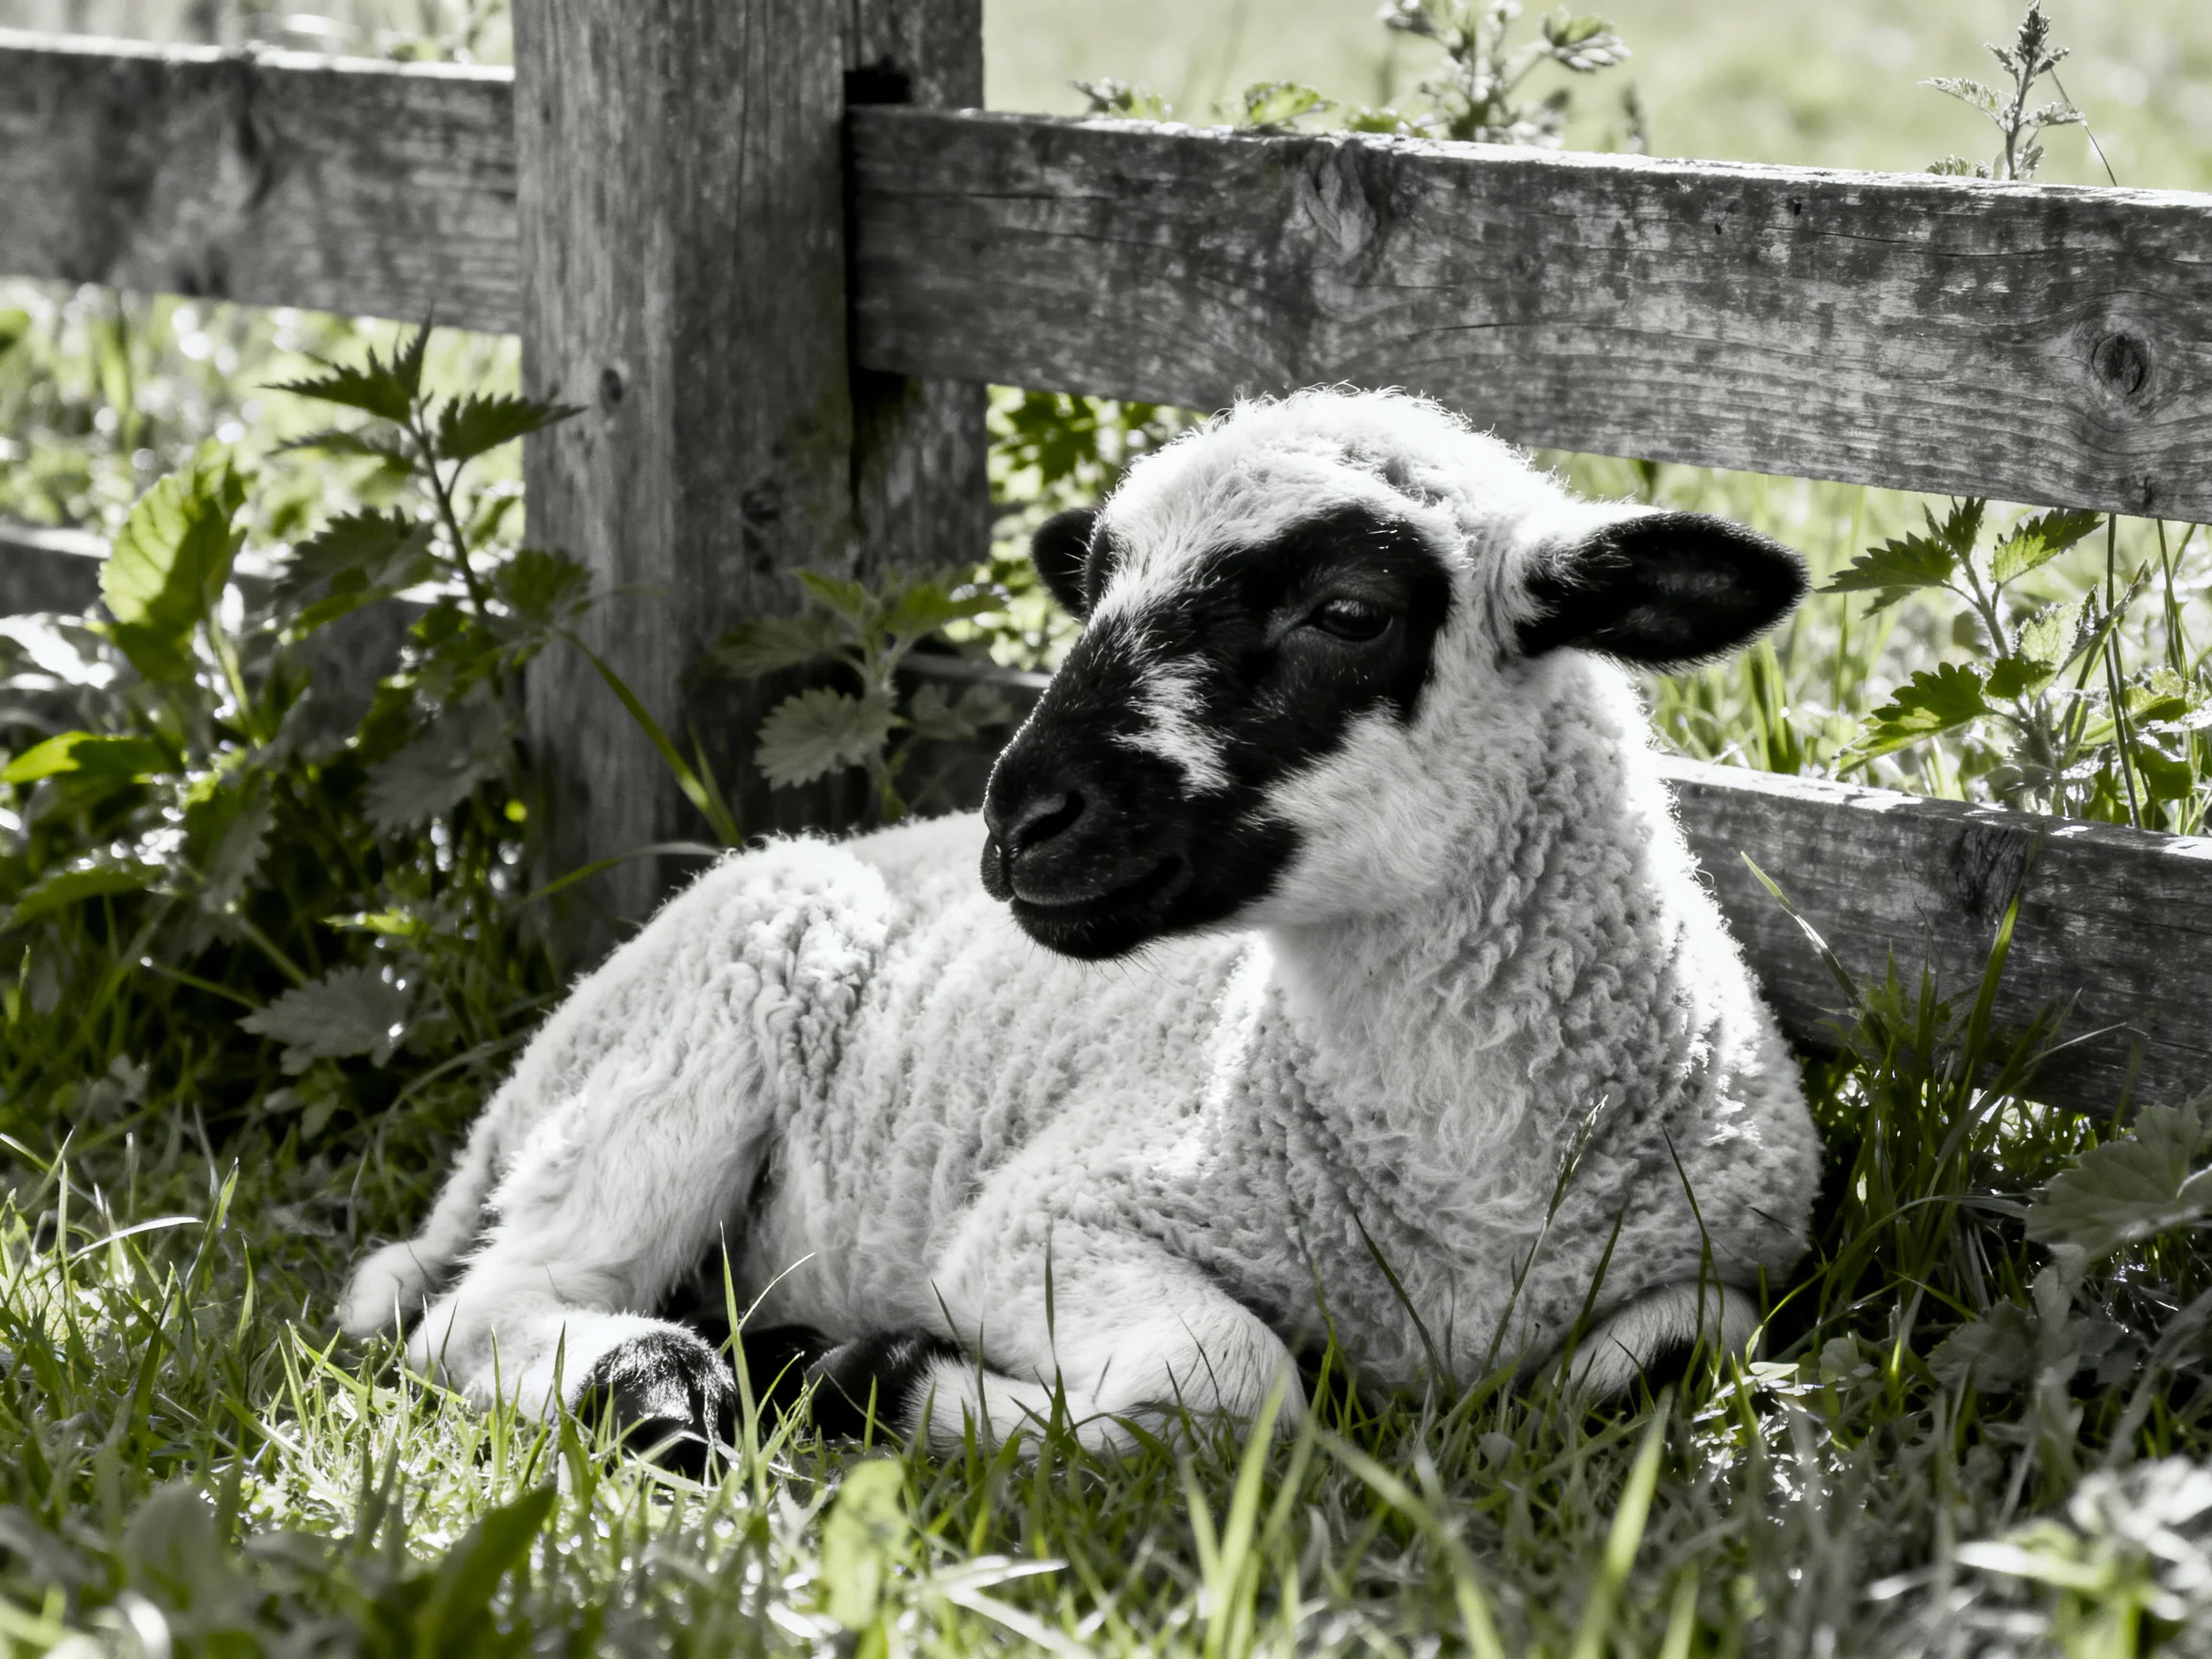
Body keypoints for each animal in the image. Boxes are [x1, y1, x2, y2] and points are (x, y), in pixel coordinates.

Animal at [340, 386, 1822, 1466]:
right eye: (1095, 588)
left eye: (1348, 612)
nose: (1019, 822)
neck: (1469, 1203)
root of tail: (519, 1092)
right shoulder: (1044, 1221)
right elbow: (1226, 1384)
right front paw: (873, 1375)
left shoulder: (1720, 1265)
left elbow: (1687, 1347)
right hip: (701, 1030)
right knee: (483, 1311)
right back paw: (661, 1384)